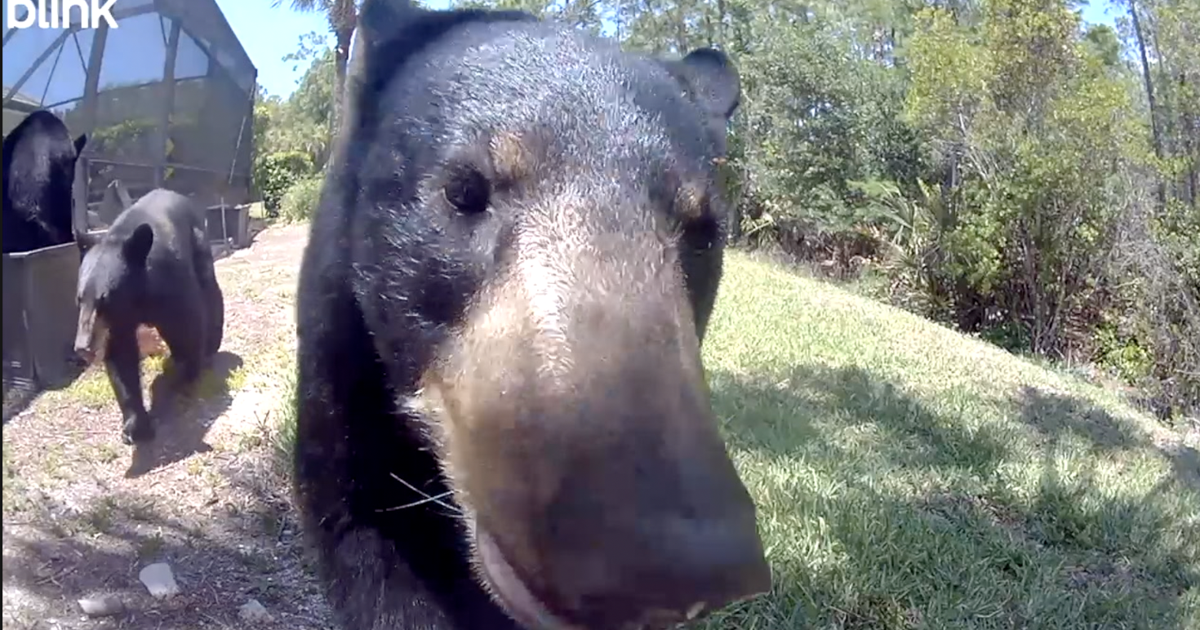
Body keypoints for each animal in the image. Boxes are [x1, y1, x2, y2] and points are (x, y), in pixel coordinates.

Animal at [74, 188, 225, 445]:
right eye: (79, 299)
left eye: (104, 300)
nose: (83, 347)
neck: (137, 295)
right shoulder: (118, 322)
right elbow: (121, 359)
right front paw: (135, 426)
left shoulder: (169, 284)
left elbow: (189, 324)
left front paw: (187, 377)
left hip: (199, 244)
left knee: (209, 293)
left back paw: (209, 347)